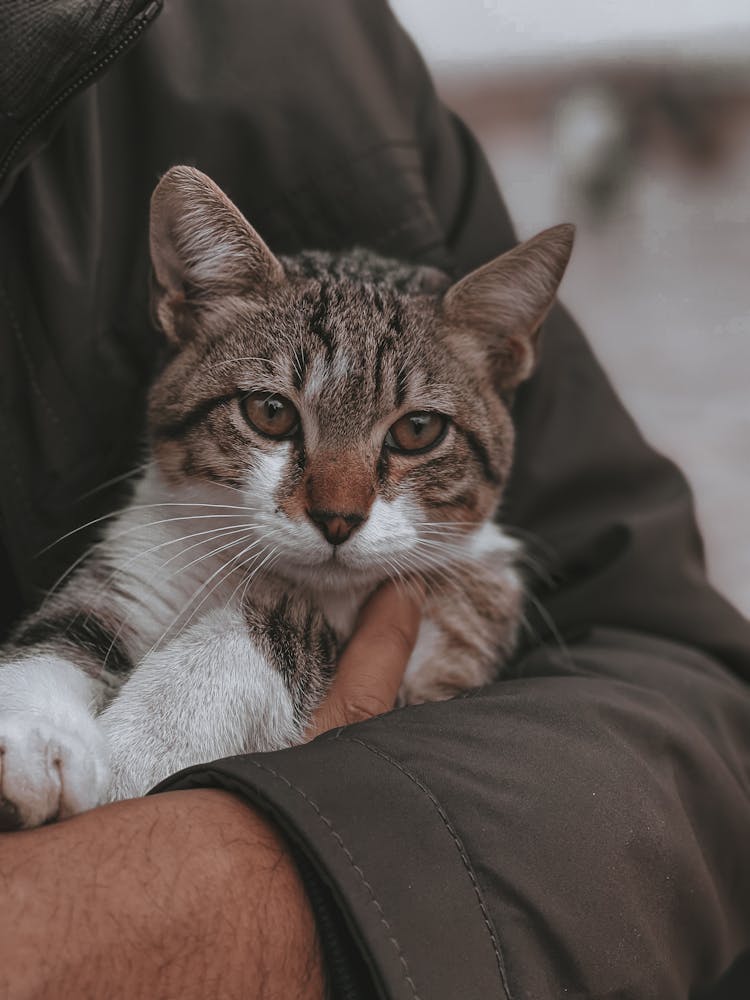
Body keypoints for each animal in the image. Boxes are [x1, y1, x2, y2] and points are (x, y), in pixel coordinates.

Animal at [0, 168, 576, 828]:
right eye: (270, 412)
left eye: (418, 429)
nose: (338, 517)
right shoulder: (138, 565)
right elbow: (62, 636)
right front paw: (29, 739)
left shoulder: (455, 635)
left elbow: (280, 624)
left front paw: (137, 744)